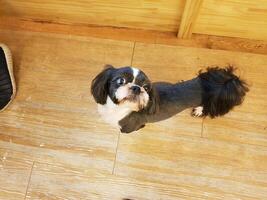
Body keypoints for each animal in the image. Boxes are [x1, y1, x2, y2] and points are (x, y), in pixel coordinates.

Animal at [91, 65, 249, 134]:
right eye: (120, 80)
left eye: (146, 88)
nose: (137, 88)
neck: (117, 109)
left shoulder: (132, 126)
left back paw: (199, 110)